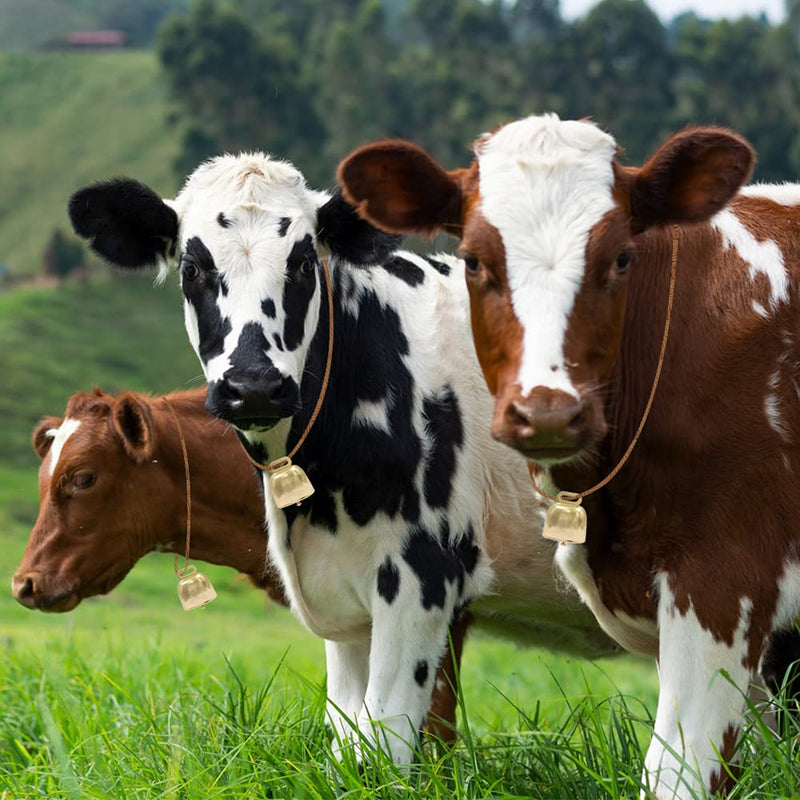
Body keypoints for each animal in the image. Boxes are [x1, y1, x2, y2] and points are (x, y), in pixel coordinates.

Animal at [66, 155, 617, 766]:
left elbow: (384, 741)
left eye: (305, 262)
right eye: (192, 267)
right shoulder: (347, 608)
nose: (253, 387)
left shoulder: (423, 578)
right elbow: (346, 738)